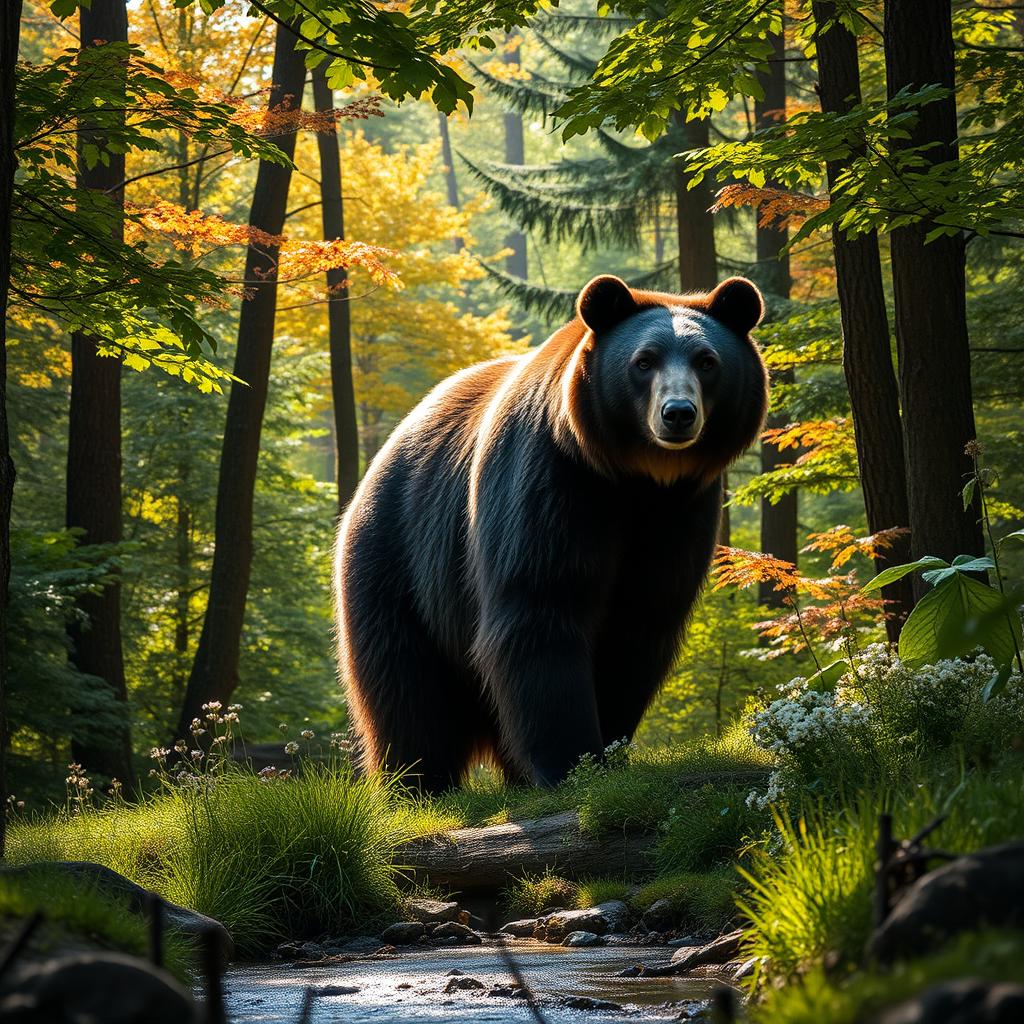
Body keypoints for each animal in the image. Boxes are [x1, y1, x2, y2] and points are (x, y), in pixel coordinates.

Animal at [334, 274, 768, 792]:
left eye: (707, 361)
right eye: (644, 361)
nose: (678, 413)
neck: (635, 476)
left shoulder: (680, 513)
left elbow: (640, 624)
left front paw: (611, 744)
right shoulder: (552, 479)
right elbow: (541, 606)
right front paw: (570, 762)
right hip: (398, 554)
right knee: (406, 683)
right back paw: (416, 780)